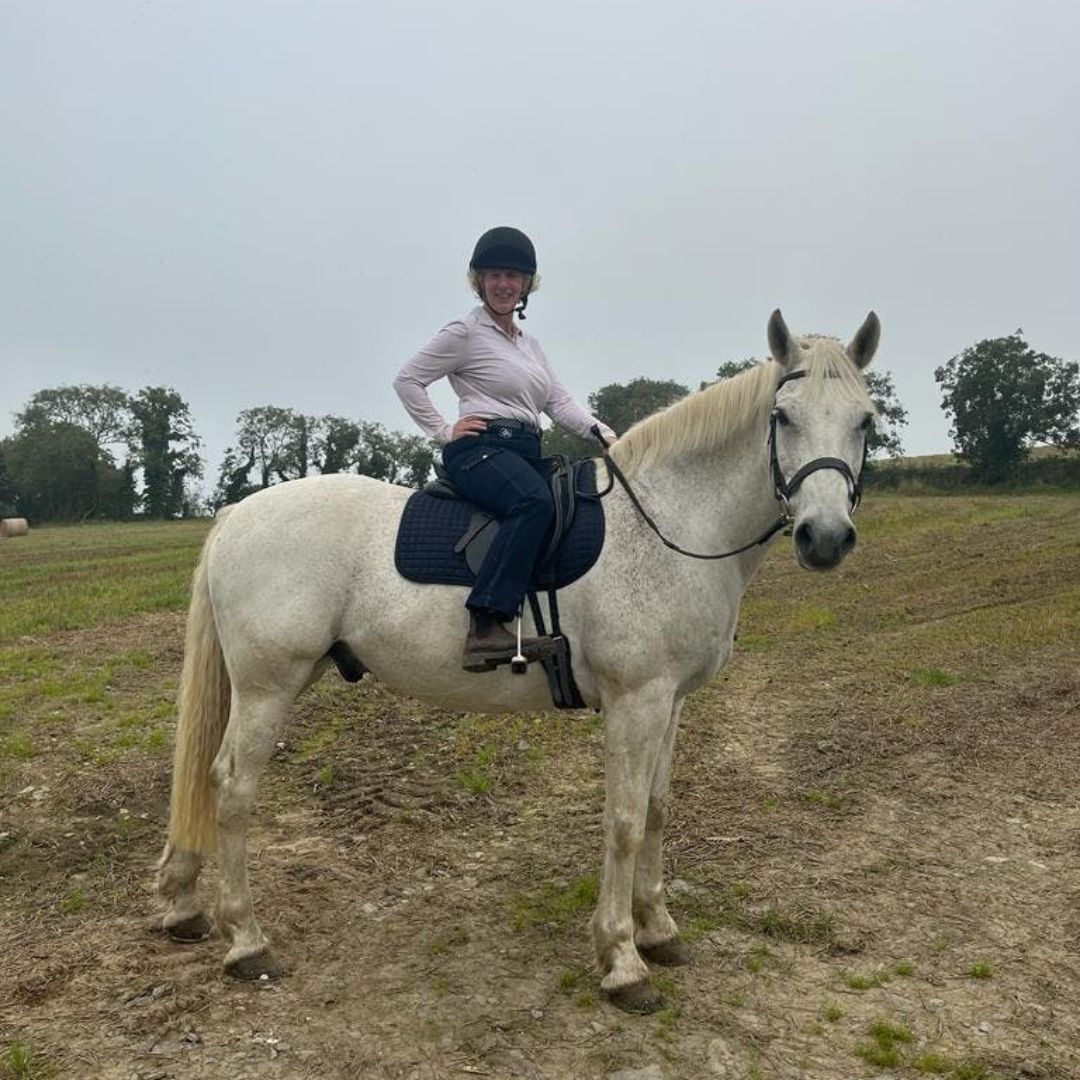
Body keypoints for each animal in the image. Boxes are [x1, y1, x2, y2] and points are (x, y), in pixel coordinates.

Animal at [157, 308, 880, 1013]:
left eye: (865, 420)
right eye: (782, 417)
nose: (825, 539)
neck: (669, 523)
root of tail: (237, 513)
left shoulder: (670, 701)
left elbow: (655, 810)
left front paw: (659, 929)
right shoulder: (636, 700)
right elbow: (623, 820)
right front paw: (622, 960)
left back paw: (184, 905)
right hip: (268, 686)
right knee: (231, 788)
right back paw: (247, 940)